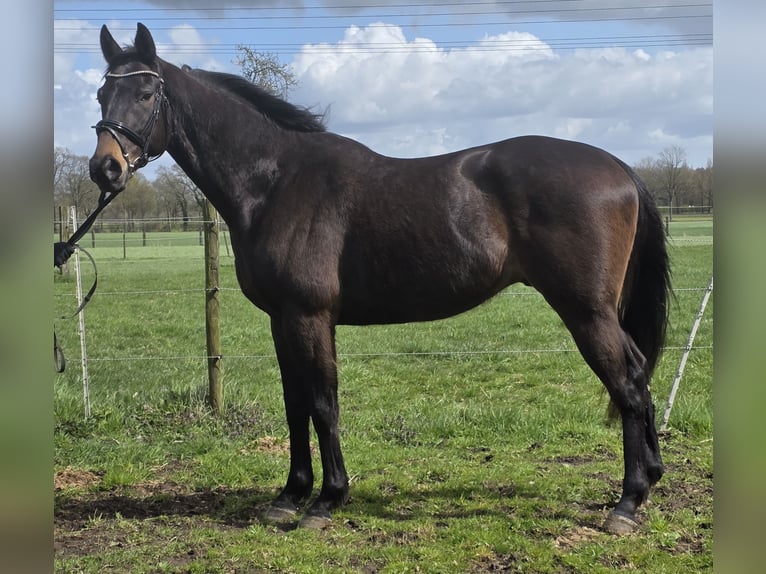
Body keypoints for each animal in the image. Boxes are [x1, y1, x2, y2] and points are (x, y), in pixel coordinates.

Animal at [89, 23, 670, 534]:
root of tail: (619, 168)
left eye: (145, 93)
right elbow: (295, 403)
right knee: (639, 373)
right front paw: (289, 496)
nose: (105, 169)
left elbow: (323, 404)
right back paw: (651, 480)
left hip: (585, 310)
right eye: (100, 94)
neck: (275, 181)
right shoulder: (282, 319)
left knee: (628, 383)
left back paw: (627, 502)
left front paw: (327, 500)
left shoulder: (310, 317)